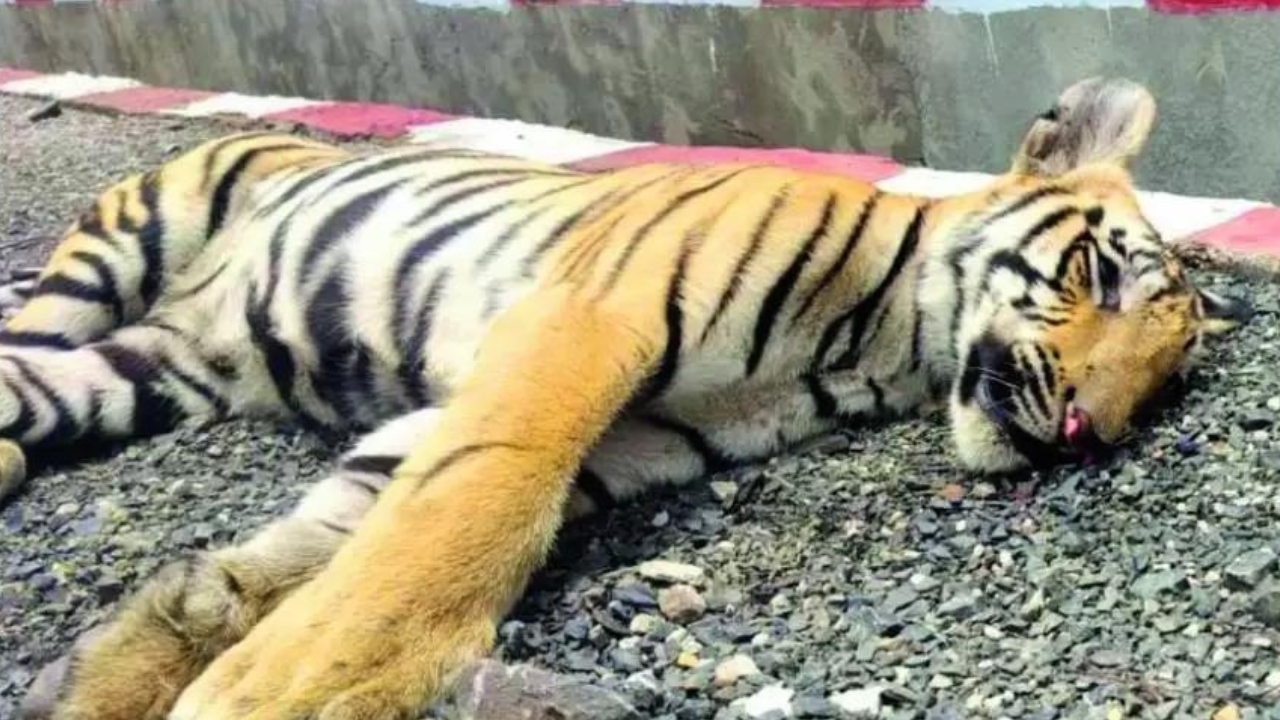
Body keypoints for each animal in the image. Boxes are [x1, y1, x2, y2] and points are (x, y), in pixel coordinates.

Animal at [4, 77, 1249, 720]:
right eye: (1098, 276)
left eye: (1159, 384)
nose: (1086, 430)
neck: (882, 341)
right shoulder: (582, 325)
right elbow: (466, 517)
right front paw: (291, 688)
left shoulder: (627, 438)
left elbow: (357, 526)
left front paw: (165, 647)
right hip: (124, 243)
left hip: (137, 378)